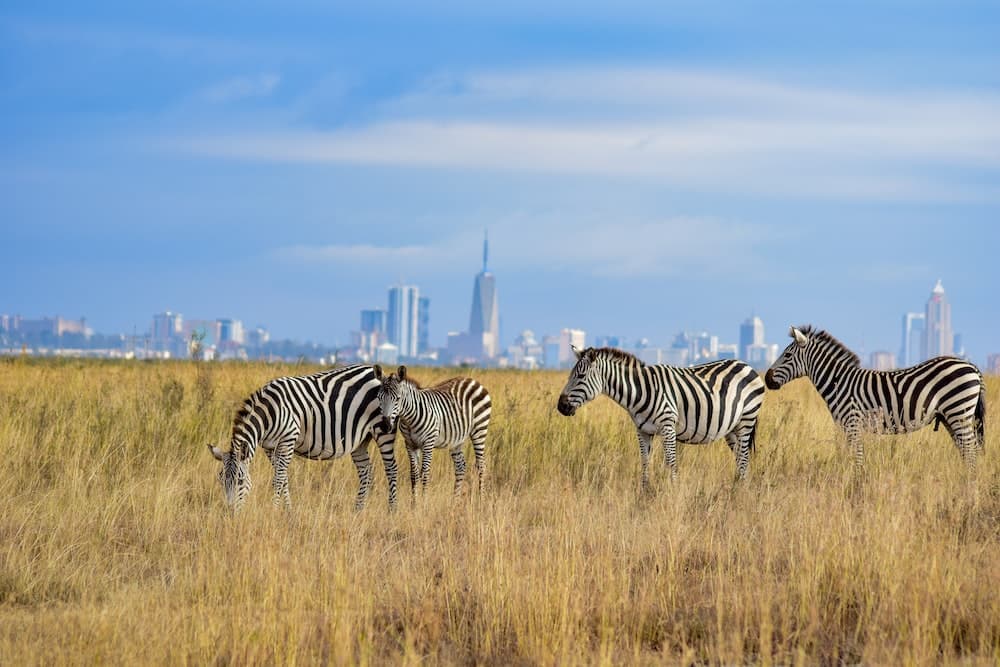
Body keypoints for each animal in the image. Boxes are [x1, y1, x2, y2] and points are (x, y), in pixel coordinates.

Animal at [207, 364, 399, 512]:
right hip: (360, 440)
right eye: (221, 480)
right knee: (366, 471)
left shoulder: (288, 439)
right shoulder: (269, 447)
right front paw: (288, 511)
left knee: (391, 469)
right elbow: (283, 479)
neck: (269, 412)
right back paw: (358, 510)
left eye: (240, 481)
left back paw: (392, 511)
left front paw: (274, 510)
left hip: (383, 430)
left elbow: (278, 479)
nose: (230, 512)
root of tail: (373, 372)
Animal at [375, 365, 491, 497]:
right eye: (379, 398)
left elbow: (425, 474)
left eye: (398, 399)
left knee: (481, 465)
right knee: (460, 466)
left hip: (480, 429)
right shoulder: (410, 444)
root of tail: (472, 380)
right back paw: (455, 499)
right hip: (456, 439)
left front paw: (424, 500)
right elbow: (414, 475)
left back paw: (481, 498)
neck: (409, 419)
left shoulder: (428, 443)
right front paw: (414, 501)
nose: (385, 426)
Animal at [556, 346, 766, 487]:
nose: (560, 407)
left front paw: (673, 492)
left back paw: (740, 491)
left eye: (580, 376)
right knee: (740, 459)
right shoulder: (642, 431)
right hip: (731, 428)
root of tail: (746, 365)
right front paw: (644, 493)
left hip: (747, 419)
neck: (639, 392)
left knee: (744, 457)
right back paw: (737, 487)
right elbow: (644, 462)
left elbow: (671, 463)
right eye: (570, 375)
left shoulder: (668, 426)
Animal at [764, 325, 986, 468]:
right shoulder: (848, 427)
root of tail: (972, 366)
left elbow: (857, 458)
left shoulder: (852, 424)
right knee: (967, 451)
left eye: (787, 355)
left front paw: (857, 486)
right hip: (951, 417)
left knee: (971, 451)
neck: (838, 382)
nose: (766, 378)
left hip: (958, 411)